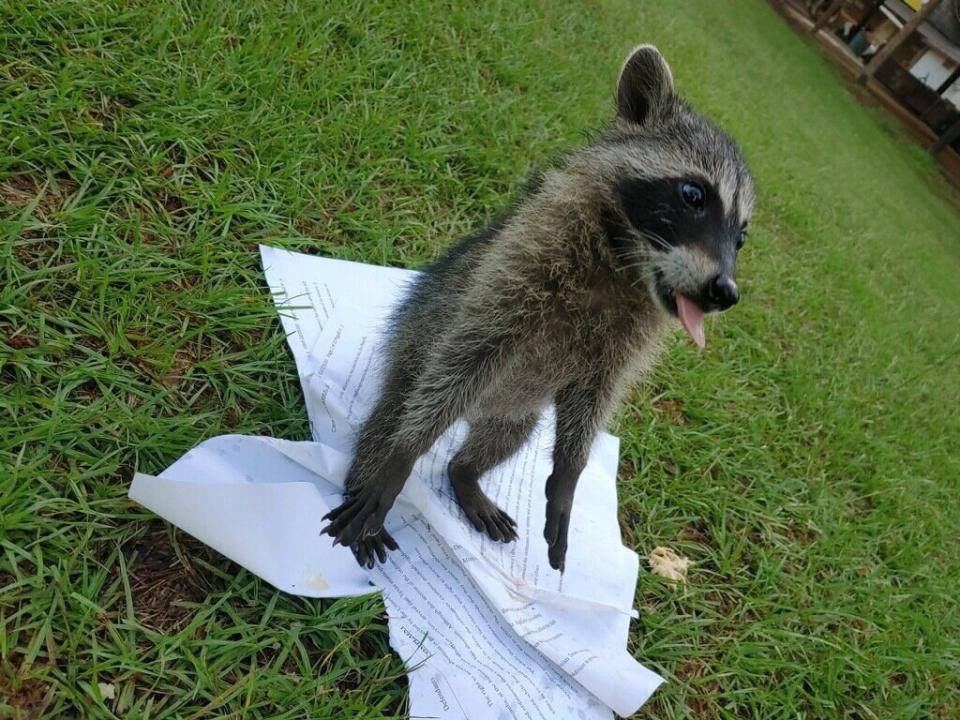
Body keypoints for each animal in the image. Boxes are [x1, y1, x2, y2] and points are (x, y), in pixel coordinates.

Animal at [322, 46, 756, 572]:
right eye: (694, 195)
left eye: (741, 237)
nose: (724, 291)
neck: (627, 260)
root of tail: (480, 413)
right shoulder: (523, 263)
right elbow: (468, 354)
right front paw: (400, 462)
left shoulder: (625, 342)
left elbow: (594, 399)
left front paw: (568, 475)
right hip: (413, 346)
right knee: (396, 414)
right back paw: (369, 472)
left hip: (514, 413)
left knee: (505, 438)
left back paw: (465, 472)